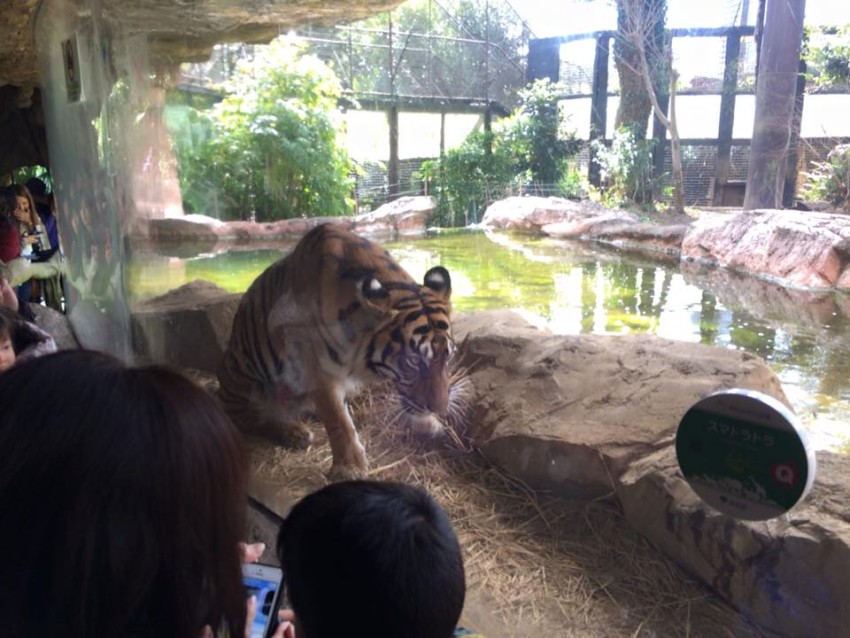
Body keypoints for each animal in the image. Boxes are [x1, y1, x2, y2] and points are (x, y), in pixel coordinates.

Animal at [217, 223, 462, 480]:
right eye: (412, 361)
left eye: (448, 357)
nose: (441, 409)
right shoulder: (317, 365)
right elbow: (338, 420)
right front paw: (349, 468)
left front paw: (430, 423)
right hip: (242, 375)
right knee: (252, 416)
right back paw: (294, 432)